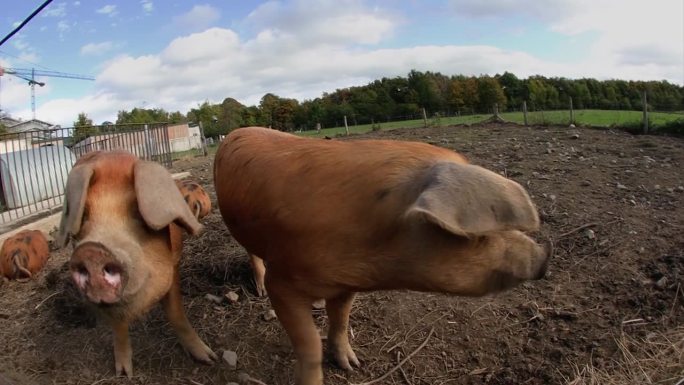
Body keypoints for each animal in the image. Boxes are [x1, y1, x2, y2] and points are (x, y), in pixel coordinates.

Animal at [59, 149, 219, 376]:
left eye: (138, 212)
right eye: (84, 216)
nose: (91, 251)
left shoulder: (174, 265)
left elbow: (176, 313)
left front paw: (210, 358)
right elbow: (118, 325)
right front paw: (124, 374)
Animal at [214, 127, 552, 384]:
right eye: (476, 235)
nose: (544, 256)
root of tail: (237, 131)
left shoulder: (346, 284)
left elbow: (341, 319)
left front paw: (353, 365)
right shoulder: (283, 283)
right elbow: (309, 344)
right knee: (252, 254)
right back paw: (257, 290)